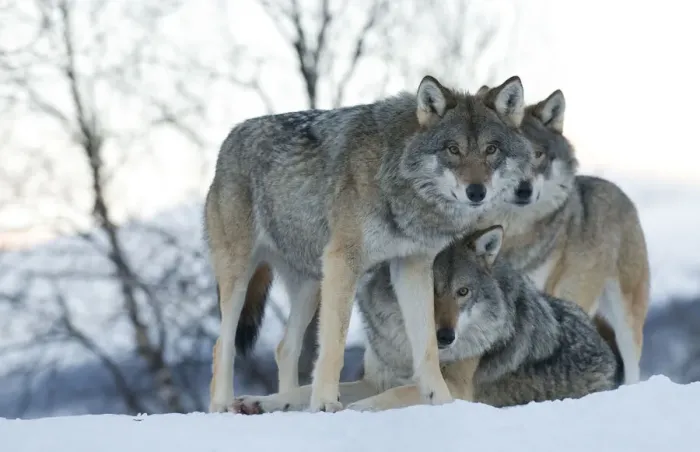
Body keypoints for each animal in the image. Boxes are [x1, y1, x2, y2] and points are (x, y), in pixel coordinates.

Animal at [205, 75, 536, 413]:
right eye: (453, 149)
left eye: (491, 149)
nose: (476, 192)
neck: (396, 175)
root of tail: (231, 135)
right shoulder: (343, 261)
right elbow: (334, 344)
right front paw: (325, 403)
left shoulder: (413, 266)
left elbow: (427, 347)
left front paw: (442, 402)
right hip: (241, 274)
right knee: (222, 345)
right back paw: (222, 406)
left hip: (311, 284)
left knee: (285, 348)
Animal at [229, 225, 622, 414]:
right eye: (428, 290)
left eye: (462, 292)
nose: (445, 337)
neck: (408, 346)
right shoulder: (374, 379)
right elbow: (302, 390)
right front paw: (261, 402)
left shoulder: (456, 391)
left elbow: (397, 394)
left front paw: (357, 410)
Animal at [473, 87, 650, 385]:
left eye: (538, 154)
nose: (523, 190)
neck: (512, 231)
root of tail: (619, 192)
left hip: (625, 314)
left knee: (632, 363)